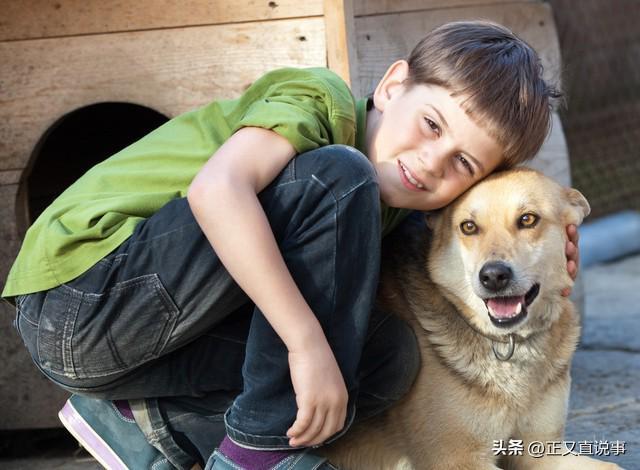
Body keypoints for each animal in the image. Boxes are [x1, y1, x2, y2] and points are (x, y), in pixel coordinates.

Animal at [324, 170, 620, 470]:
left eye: (528, 219)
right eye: (468, 227)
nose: (494, 276)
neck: (508, 342)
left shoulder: (541, 450)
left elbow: (612, 466)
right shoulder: (456, 459)